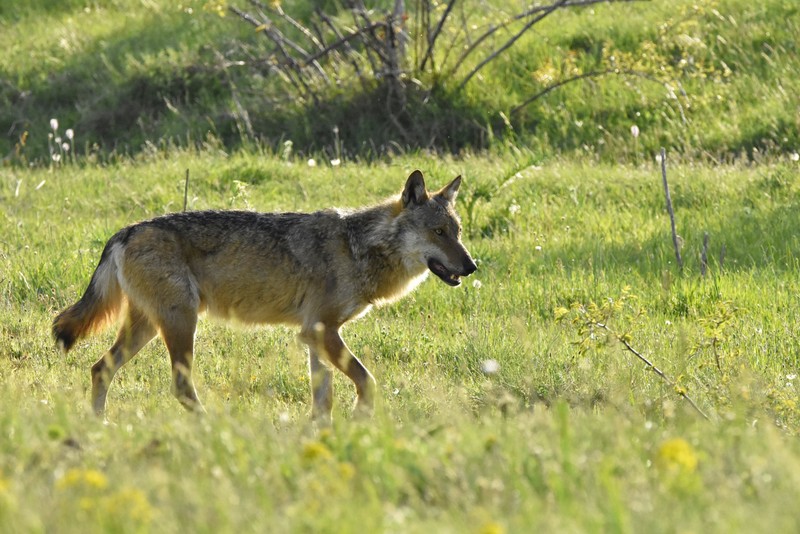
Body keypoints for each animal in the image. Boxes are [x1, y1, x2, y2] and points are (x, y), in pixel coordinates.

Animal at [53, 170, 478, 420]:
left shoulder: (314, 335)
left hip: (149, 328)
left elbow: (323, 399)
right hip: (180, 324)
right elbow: (367, 380)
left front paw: (321, 438)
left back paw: (100, 426)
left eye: (457, 232)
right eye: (438, 233)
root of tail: (127, 230)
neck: (360, 248)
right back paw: (209, 428)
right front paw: (360, 420)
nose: (472, 266)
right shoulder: (322, 331)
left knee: (100, 368)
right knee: (180, 387)